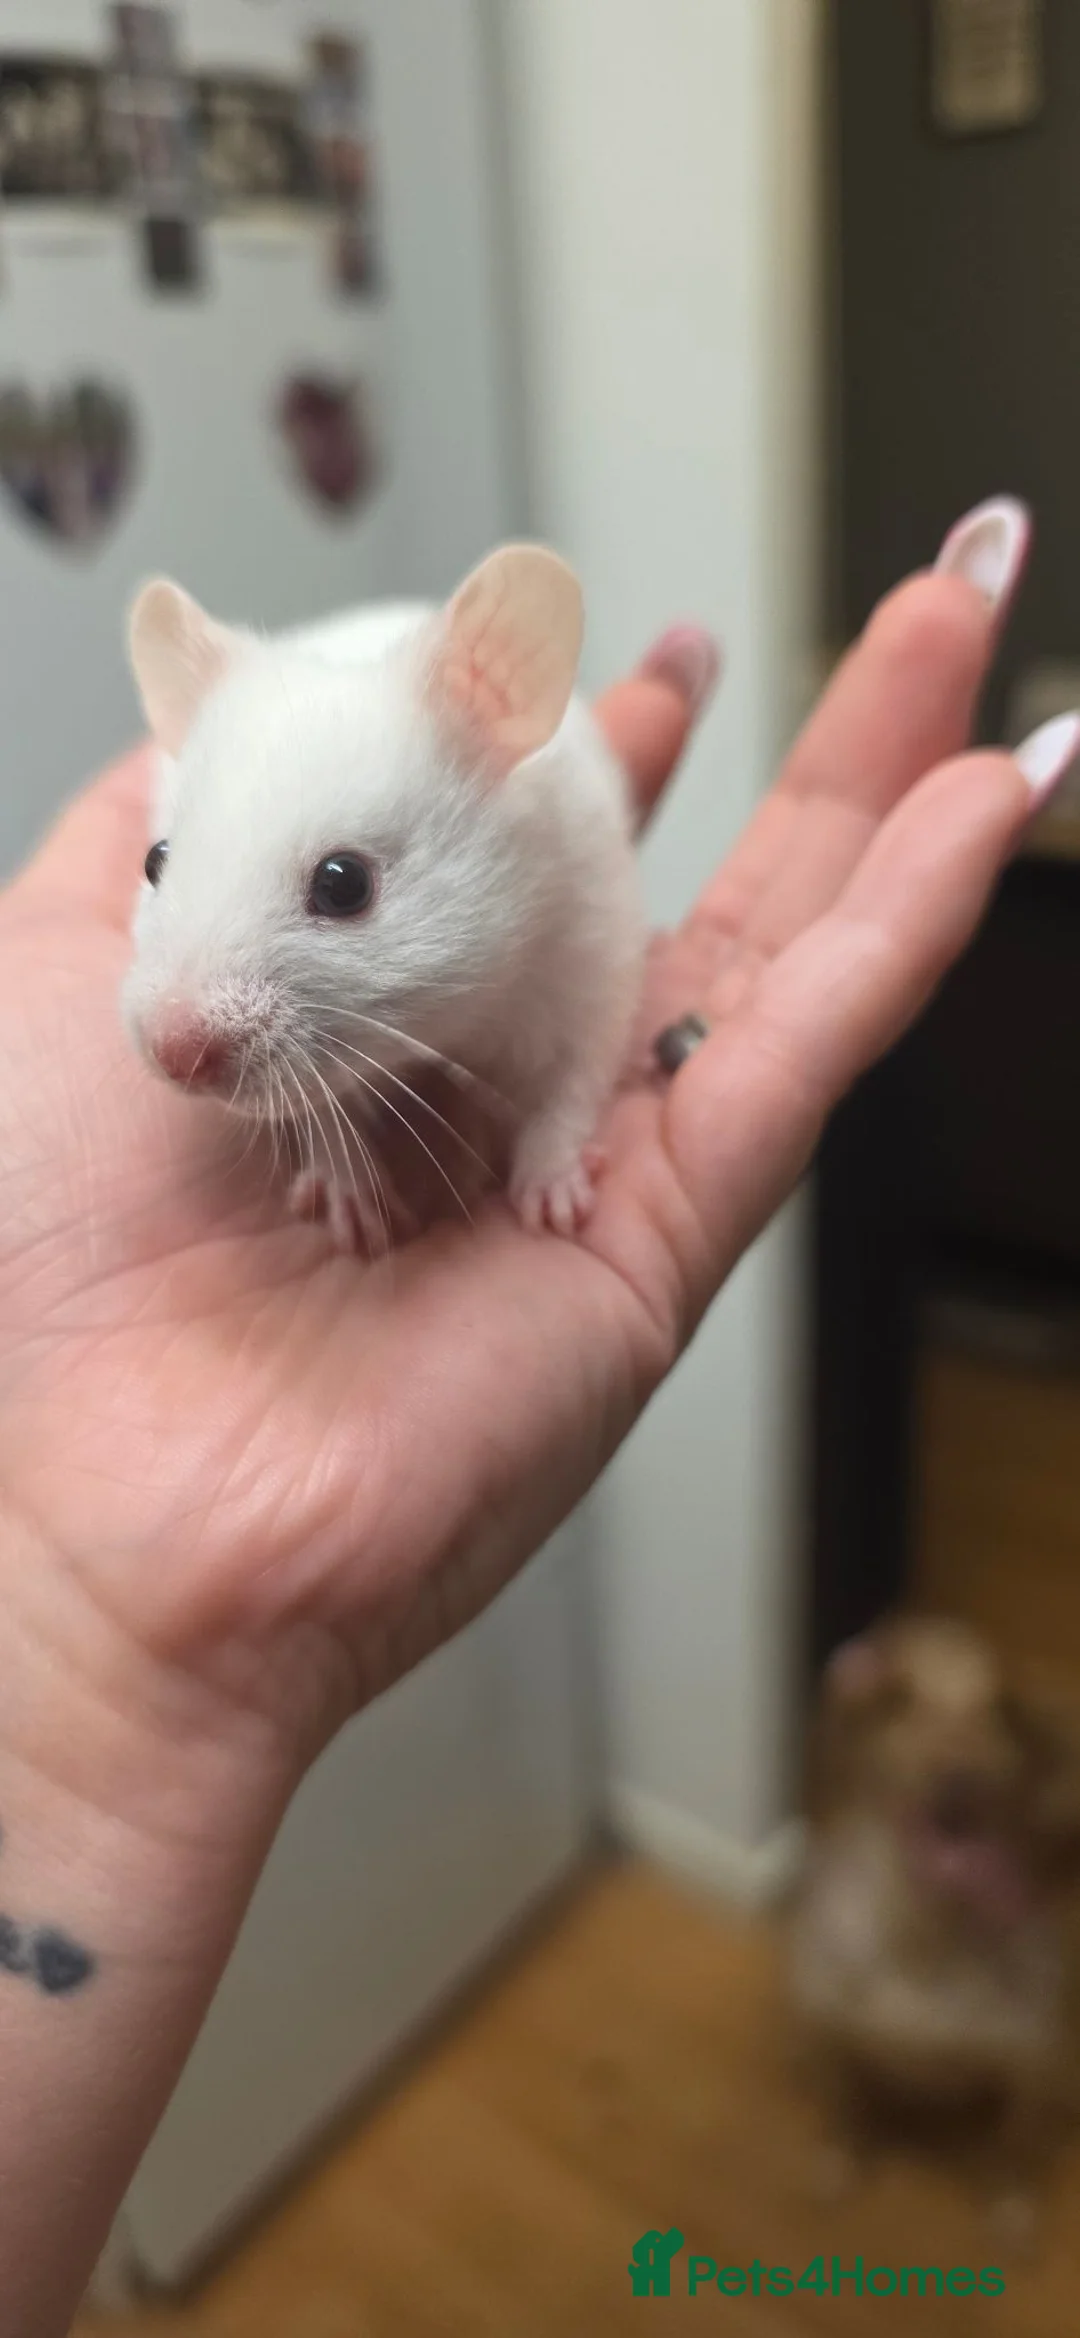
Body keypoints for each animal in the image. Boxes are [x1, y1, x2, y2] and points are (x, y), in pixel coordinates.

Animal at [122, 544, 646, 1249]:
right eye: (155, 860)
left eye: (344, 883)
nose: (173, 1058)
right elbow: (323, 1113)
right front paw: (354, 1218)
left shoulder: (592, 967)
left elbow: (570, 1090)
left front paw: (554, 1209)